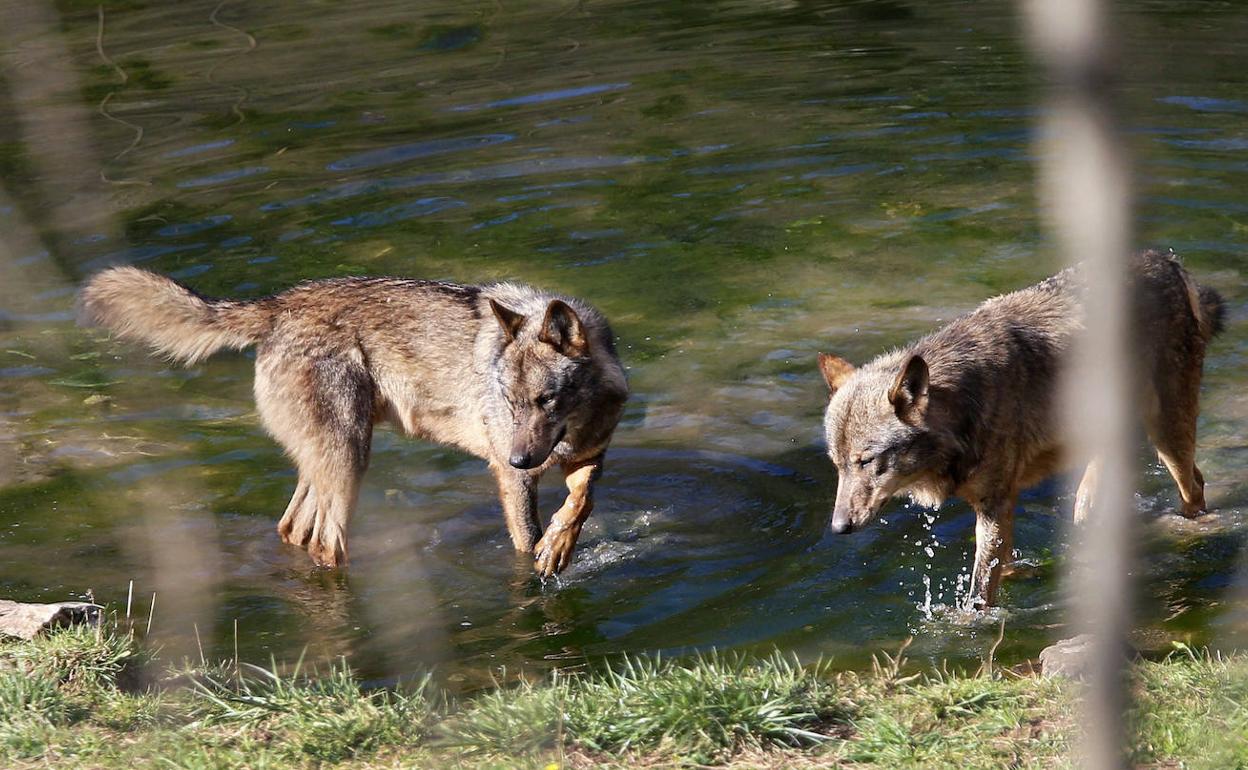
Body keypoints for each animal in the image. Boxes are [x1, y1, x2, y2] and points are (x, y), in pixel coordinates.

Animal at [79, 267, 628, 574]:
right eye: (509, 401)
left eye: (546, 399)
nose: (520, 458)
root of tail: (277, 304)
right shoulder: (509, 475)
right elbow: (524, 540)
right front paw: (540, 563)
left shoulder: (589, 456)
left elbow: (581, 502)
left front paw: (559, 546)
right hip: (348, 461)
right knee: (324, 541)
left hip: (329, 464)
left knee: (293, 530)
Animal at [818, 250, 1228, 606]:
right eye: (837, 466)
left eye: (866, 461)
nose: (837, 528)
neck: (964, 402)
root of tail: (1168, 261)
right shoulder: (1002, 503)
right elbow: (1003, 564)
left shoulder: (994, 504)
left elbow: (980, 590)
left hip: (1168, 435)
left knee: (1194, 485)